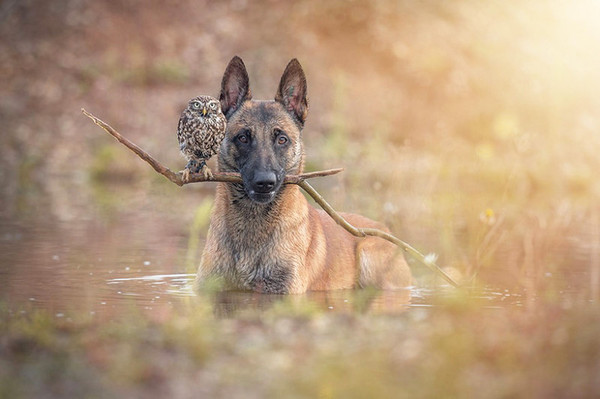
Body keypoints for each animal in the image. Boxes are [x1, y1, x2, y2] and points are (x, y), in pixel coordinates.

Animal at [195, 56, 410, 294]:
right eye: (243, 138)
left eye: (282, 139)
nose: (265, 183)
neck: (252, 225)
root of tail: (383, 228)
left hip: (369, 255)